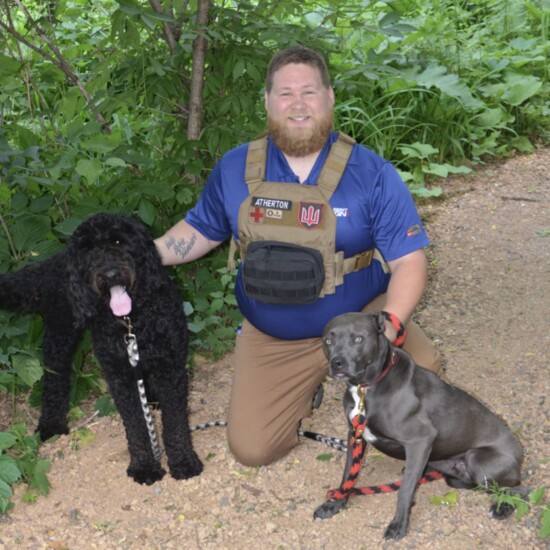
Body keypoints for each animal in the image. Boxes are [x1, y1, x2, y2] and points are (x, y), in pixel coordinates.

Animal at [0, 213, 203, 486]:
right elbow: (136, 427)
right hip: (60, 337)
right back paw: (51, 425)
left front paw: (183, 462)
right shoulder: (119, 377)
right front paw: (144, 466)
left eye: (118, 241)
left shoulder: (170, 368)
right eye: (88, 250)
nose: (110, 274)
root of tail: (56, 261)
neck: (131, 321)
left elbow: (175, 422)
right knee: (55, 380)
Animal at [314, 312, 528, 540]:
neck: (366, 388)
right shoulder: (355, 434)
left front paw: (399, 525)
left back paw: (503, 508)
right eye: (328, 340)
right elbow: (348, 475)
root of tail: (519, 452)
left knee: (521, 489)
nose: (337, 363)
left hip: (478, 462)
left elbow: (405, 489)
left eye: (358, 339)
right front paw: (334, 504)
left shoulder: (420, 440)